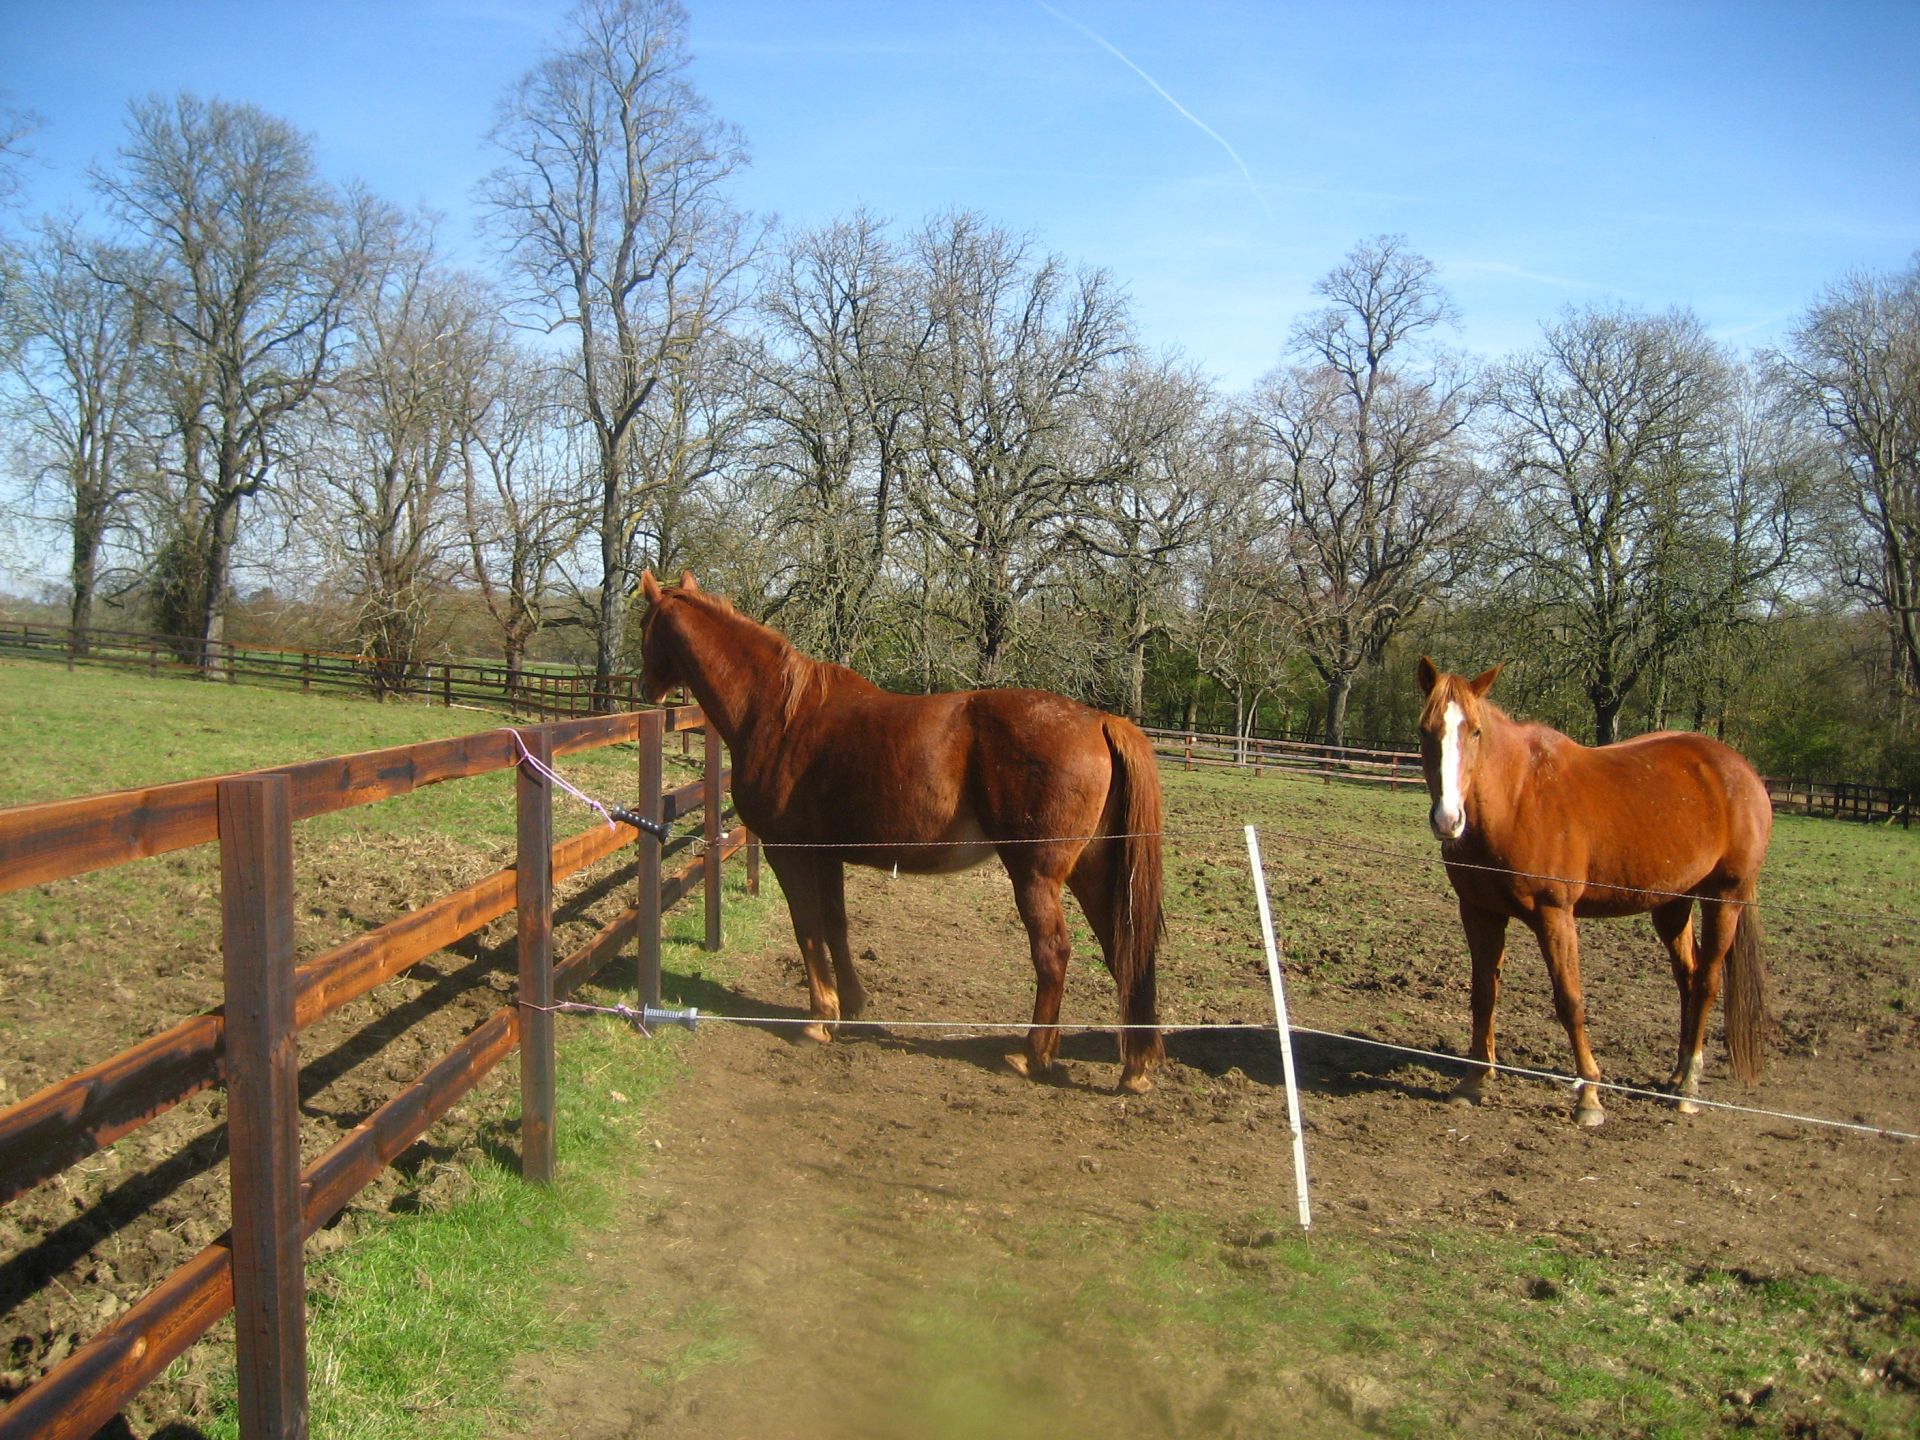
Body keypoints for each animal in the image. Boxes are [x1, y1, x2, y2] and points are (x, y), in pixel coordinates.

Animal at [637, 571, 1166, 1093]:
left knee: (1053, 953)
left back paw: (1031, 1056)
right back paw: (1134, 1067)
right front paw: (852, 1003)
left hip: (1036, 876)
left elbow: (807, 927)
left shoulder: (789, 851)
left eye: (645, 625)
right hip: (1094, 871)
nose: (645, 687)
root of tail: (1101, 720)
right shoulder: (826, 853)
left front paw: (819, 1019)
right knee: (1123, 950)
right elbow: (835, 924)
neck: (779, 713)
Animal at [1414, 658, 1772, 1126]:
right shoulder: (1479, 912)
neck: (1516, 798)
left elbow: (1570, 1001)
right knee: (1689, 978)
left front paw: (1589, 1097)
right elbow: (1483, 993)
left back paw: (1688, 1087)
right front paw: (1473, 1081)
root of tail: (1740, 770)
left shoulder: (1555, 914)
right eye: (1426, 729)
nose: (1448, 820)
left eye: (1475, 731)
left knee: (1709, 981)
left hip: (1725, 898)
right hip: (1673, 904)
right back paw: (1676, 1076)